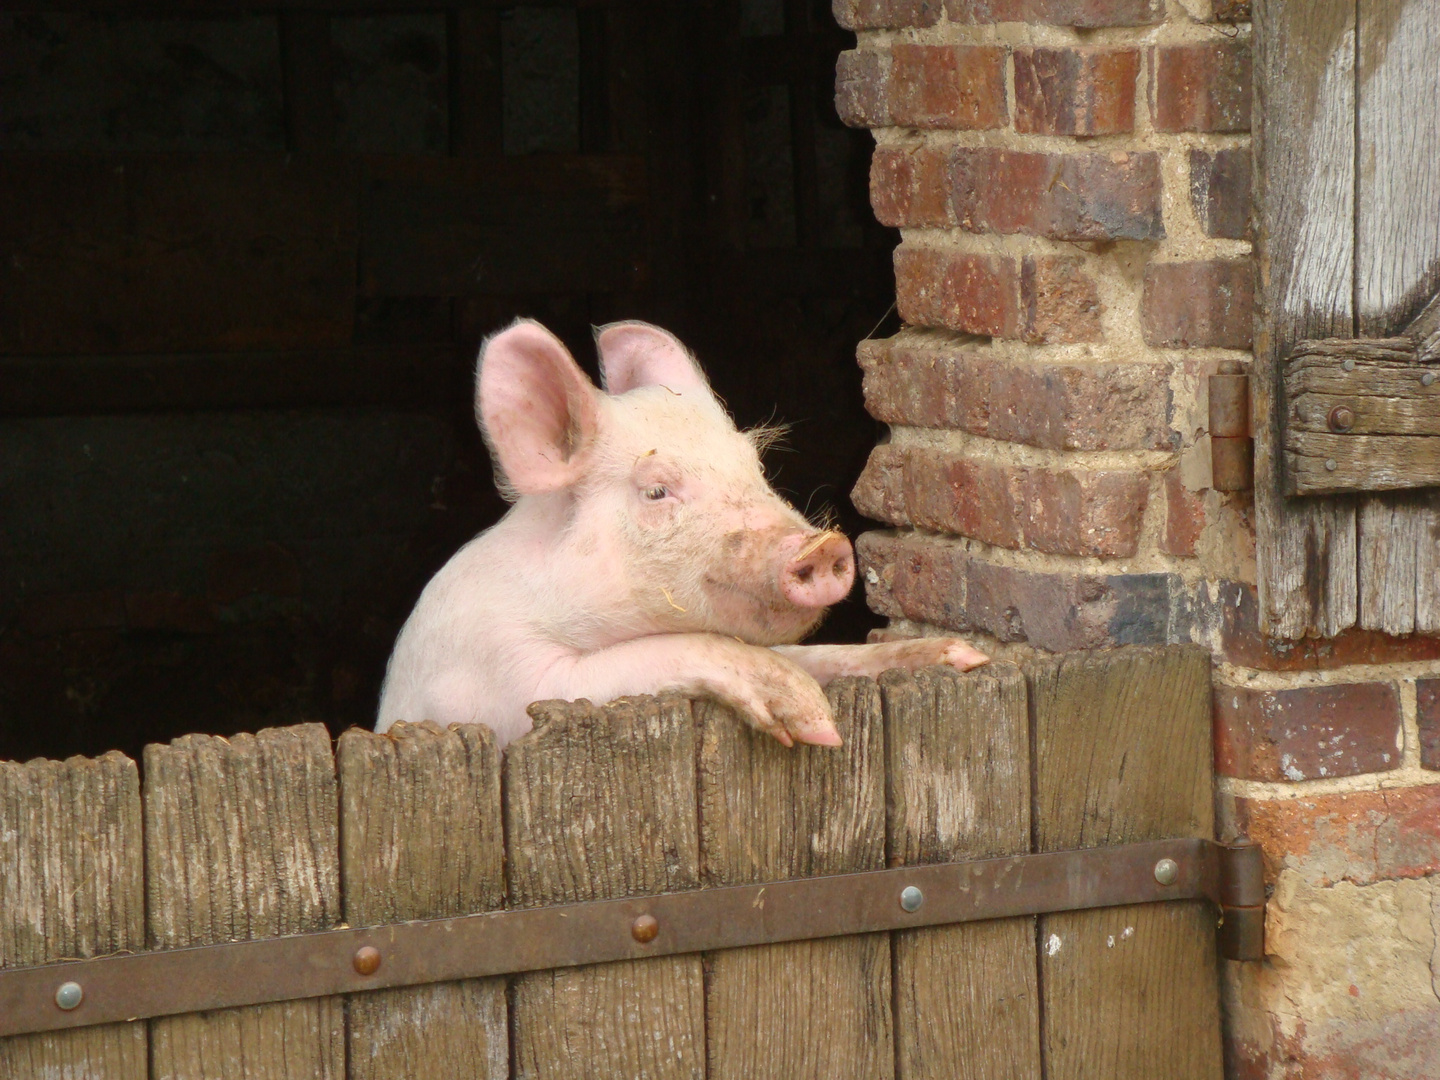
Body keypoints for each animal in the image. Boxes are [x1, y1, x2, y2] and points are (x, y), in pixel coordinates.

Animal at [377, 316, 990, 748]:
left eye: (754, 465)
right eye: (656, 492)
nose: (824, 545)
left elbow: (816, 655)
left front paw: (965, 659)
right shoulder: (502, 683)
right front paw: (816, 722)